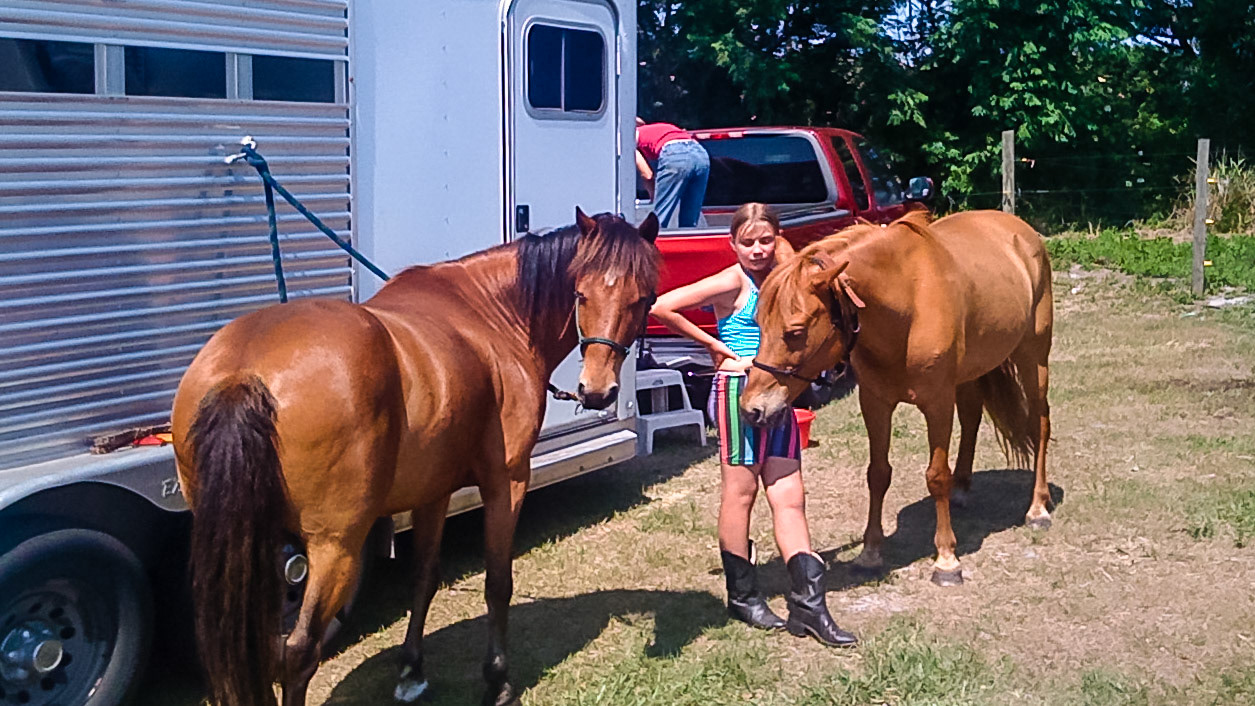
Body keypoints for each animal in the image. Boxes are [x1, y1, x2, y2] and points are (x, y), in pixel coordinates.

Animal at [171, 209, 660, 706]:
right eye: (581, 294)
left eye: (642, 298)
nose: (596, 391)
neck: (491, 315)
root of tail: (244, 373)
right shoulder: (507, 482)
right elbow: (497, 582)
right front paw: (498, 680)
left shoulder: (433, 492)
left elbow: (424, 578)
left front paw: (410, 671)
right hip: (334, 547)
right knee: (298, 651)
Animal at [740, 210, 1053, 586]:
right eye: (758, 321)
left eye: (795, 331)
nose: (752, 409)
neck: (908, 303)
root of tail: (1020, 230)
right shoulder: (875, 403)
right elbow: (877, 473)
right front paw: (870, 552)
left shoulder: (937, 403)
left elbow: (936, 476)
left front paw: (946, 560)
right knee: (972, 417)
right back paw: (963, 488)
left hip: (1033, 359)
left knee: (1040, 424)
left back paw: (1038, 508)